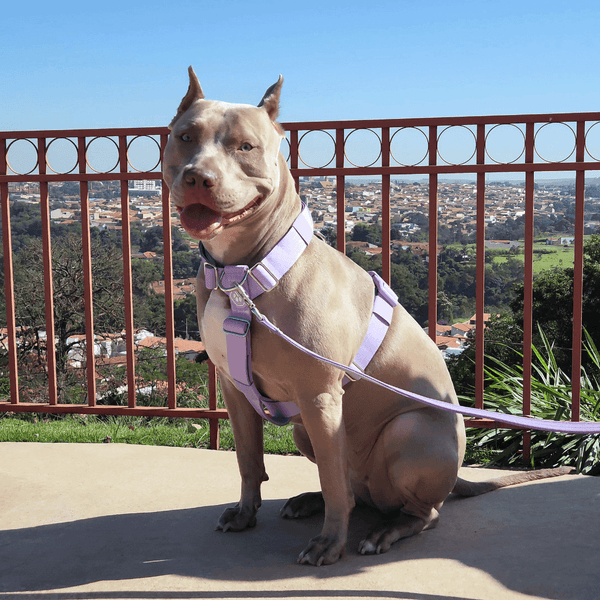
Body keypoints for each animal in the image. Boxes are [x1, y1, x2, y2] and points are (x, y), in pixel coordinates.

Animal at [163, 68, 572, 564]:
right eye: (185, 137)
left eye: (245, 146)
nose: (198, 177)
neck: (241, 273)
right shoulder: (235, 389)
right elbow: (248, 460)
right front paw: (245, 513)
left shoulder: (321, 397)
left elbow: (332, 480)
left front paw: (329, 543)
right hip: (306, 432)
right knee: (355, 491)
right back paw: (310, 501)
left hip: (406, 432)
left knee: (415, 509)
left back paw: (386, 530)